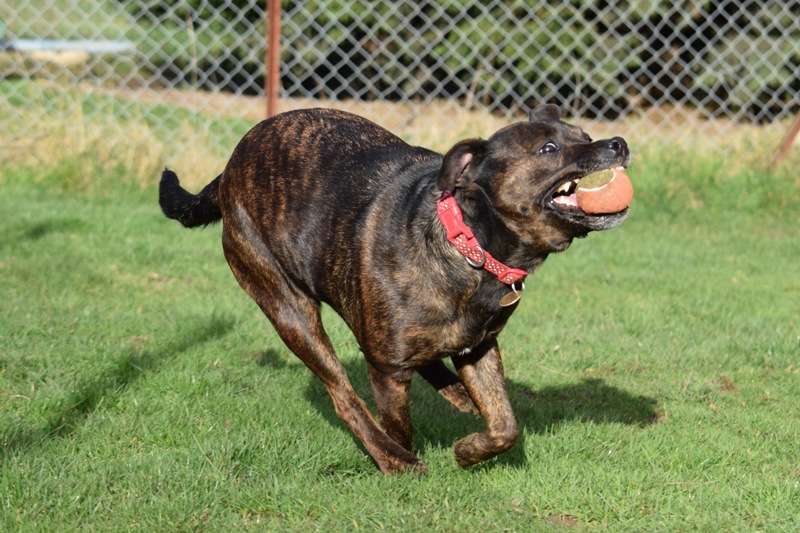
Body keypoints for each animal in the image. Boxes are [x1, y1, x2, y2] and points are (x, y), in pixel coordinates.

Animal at [158, 105, 632, 474]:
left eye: (583, 136)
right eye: (548, 149)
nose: (619, 143)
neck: (467, 244)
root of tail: (229, 168)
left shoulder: (480, 348)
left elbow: (505, 426)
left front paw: (467, 451)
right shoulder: (386, 369)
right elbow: (399, 423)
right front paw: (408, 459)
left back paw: (456, 395)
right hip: (289, 310)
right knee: (344, 396)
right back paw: (391, 458)